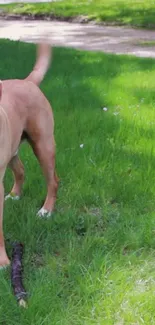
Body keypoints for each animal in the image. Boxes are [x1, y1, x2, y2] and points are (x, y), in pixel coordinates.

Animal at [0, 42, 58, 266]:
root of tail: (27, 82)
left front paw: (3, 262)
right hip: (12, 149)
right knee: (21, 170)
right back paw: (15, 195)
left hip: (43, 145)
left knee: (53, 181)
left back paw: (46, 210)